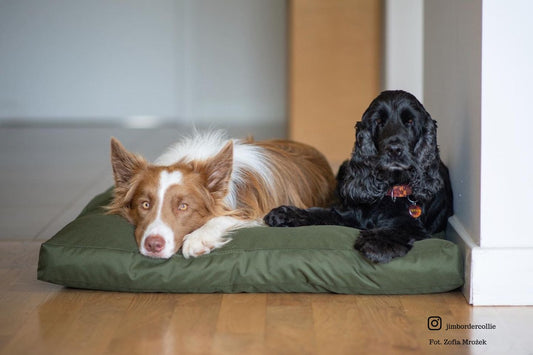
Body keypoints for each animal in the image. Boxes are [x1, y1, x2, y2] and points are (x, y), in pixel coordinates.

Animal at [106, 132, 334, 260]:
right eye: (144, 204)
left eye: (183, 206)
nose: (153, 245)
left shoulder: (261, 213)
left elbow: (222, 218)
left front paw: (198, 239)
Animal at [264, 91, 450, 264]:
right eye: (379, 121)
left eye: (410, 121)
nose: (394, 149)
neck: (389, 190)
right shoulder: (348, 213)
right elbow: (320, 213)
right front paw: (286, 214)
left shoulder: (412, 225)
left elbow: (396, 229)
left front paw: (376, 243)